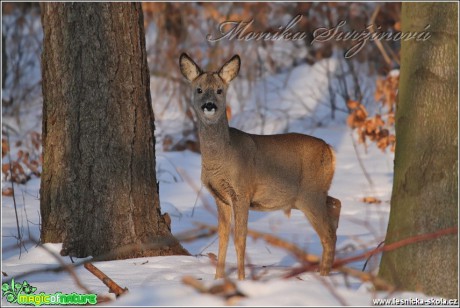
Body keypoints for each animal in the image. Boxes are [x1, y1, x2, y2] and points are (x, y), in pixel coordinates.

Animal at [180, 53, 342, 282]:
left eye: (220, 90)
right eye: (199, 89)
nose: (209, 105)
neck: (222, 158)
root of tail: (330, 150)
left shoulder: (242, 191)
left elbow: (240, 239)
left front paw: (241, 279)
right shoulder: (220, 197)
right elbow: (223, 239)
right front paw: (218, 279)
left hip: (310, 194)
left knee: (328, 233)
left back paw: (324, 276)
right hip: (312, 193)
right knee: (336, 204)